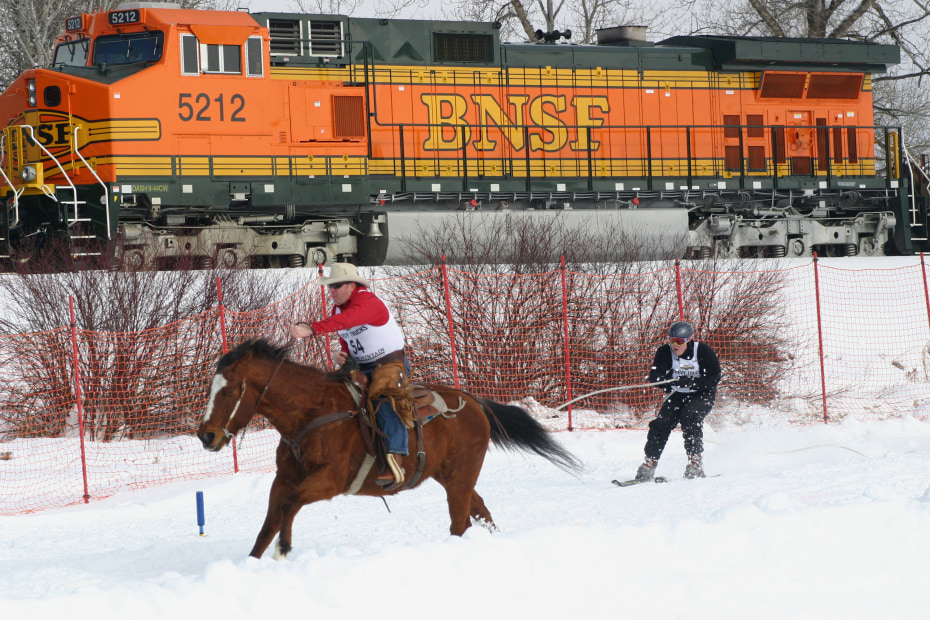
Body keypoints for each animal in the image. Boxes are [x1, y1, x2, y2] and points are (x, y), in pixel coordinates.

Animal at [196, 340, 580, 560]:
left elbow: (289, 508)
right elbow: (268, 525)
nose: (205, 436)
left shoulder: (328, 481)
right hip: (451, 476)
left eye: (228, 390)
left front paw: (284, 548)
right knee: (480, 510)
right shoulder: (283, 480)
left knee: (460, 522)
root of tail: (473, 402)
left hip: (460, 476)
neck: (312, 413)